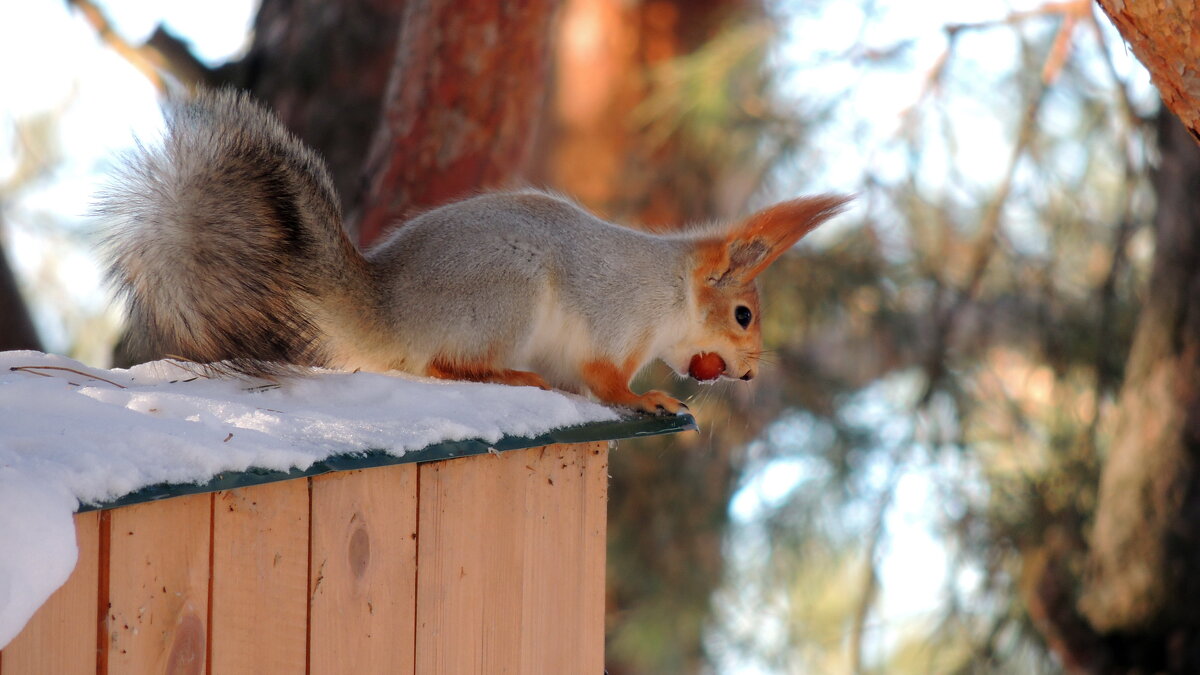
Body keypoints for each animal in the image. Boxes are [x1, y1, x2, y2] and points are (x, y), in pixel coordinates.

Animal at [100, 88, 854, 415]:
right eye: (743, 316)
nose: (750, 374)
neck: (669, 291)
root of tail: (386, 311)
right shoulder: (615, 317)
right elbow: (605, 377)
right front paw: (648, 400)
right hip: (506, 295)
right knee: (443, 365)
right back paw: (513, 378)